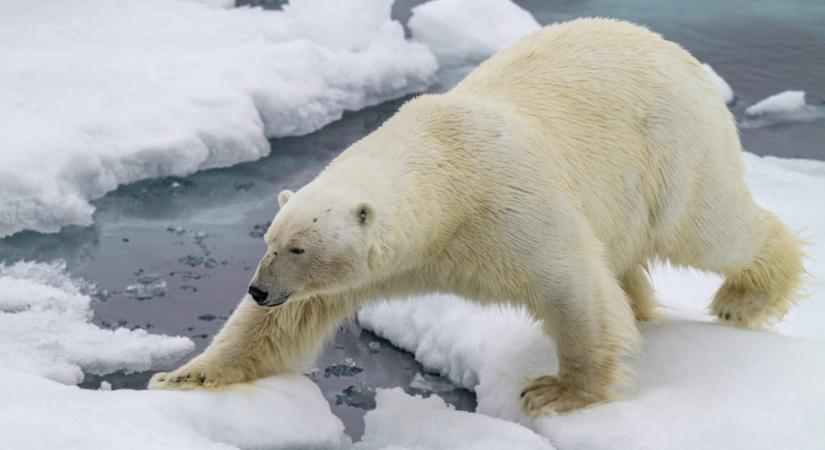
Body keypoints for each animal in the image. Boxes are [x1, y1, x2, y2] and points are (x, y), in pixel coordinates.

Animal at [148, 18, 800, 414]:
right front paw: (184, 377)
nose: (258, 289)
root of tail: (678, 54)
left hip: (672, 148)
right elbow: (283, 324)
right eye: (270, 239)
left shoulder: (510, 205)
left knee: (709, 230)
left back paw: (745, 297)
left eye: (299, 248)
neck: (445, 173)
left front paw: (556, 392)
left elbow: (573, 289)